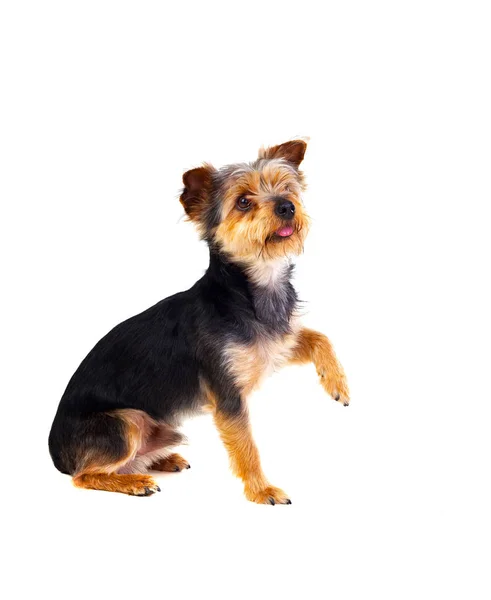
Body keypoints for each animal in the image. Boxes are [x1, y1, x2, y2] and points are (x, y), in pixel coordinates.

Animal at [49, 141, 350, 506]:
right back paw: (135, 481)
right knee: (83, 475)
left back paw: (160, 461)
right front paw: (261, 490)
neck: (249, 290)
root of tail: (55, 455)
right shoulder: (227, 393)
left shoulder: (274, 347)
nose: (287, 206)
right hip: (126, 421)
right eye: (243, 201)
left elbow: (320, 336)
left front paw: (336, 383)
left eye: (287, 188)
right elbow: (246, 446)